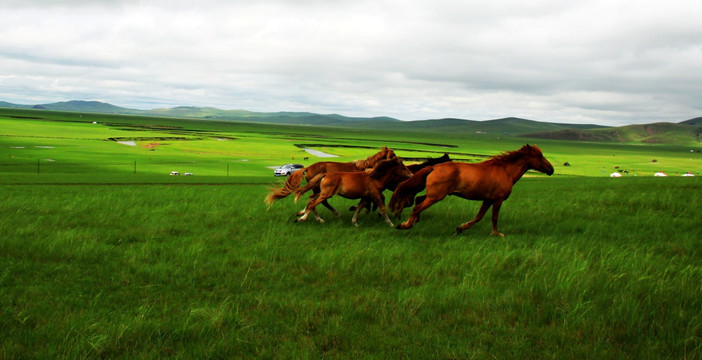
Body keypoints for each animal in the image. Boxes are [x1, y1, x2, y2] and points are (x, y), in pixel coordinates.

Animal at [264, 146, 396, 211]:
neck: (366, 168)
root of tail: (308, 167)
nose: (398, 160)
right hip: (319, 188)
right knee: (320, 201)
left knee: (317, 200)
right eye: (393, 154)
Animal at [390, 143, 556, 236]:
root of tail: (434, 167)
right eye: (540, 156)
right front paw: (497, 234)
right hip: (436, 196)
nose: (551, 169)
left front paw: (461, 228)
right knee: (417, 207)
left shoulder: (488, 199)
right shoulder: (497, 200)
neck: (505, 171)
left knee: (418, 200)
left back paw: (413, 221)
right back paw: (405, 225)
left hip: (435, 195)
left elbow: (479, 217)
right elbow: (493, 218)